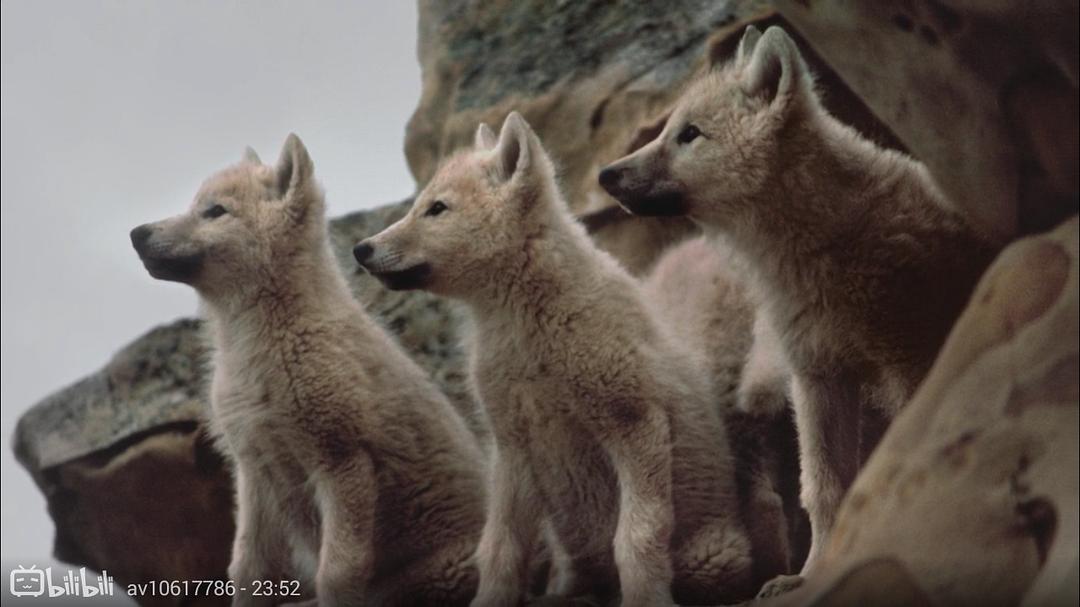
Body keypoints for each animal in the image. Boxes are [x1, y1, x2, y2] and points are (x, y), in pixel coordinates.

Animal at [130, 135, 485, 606]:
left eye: (215, 211)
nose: (137, 234)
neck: (269, 345)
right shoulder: (254, 472)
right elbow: (248, 569)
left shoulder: (342, 461)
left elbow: (336, 572)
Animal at [354, 113, 755, 606]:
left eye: (437, 209)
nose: (361, 249)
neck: (530, 333)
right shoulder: (512, 447)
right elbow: (499, 547)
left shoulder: (635, 423)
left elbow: (636, 537)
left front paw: (645, 598)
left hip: (710, 559)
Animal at [598, 25, 999, 585]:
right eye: (670, 129)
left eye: (690, 134)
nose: (607, 175)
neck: (824, 243)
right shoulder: (817, 377)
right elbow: (824, 488)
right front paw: (810, 574)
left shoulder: (911, 359)